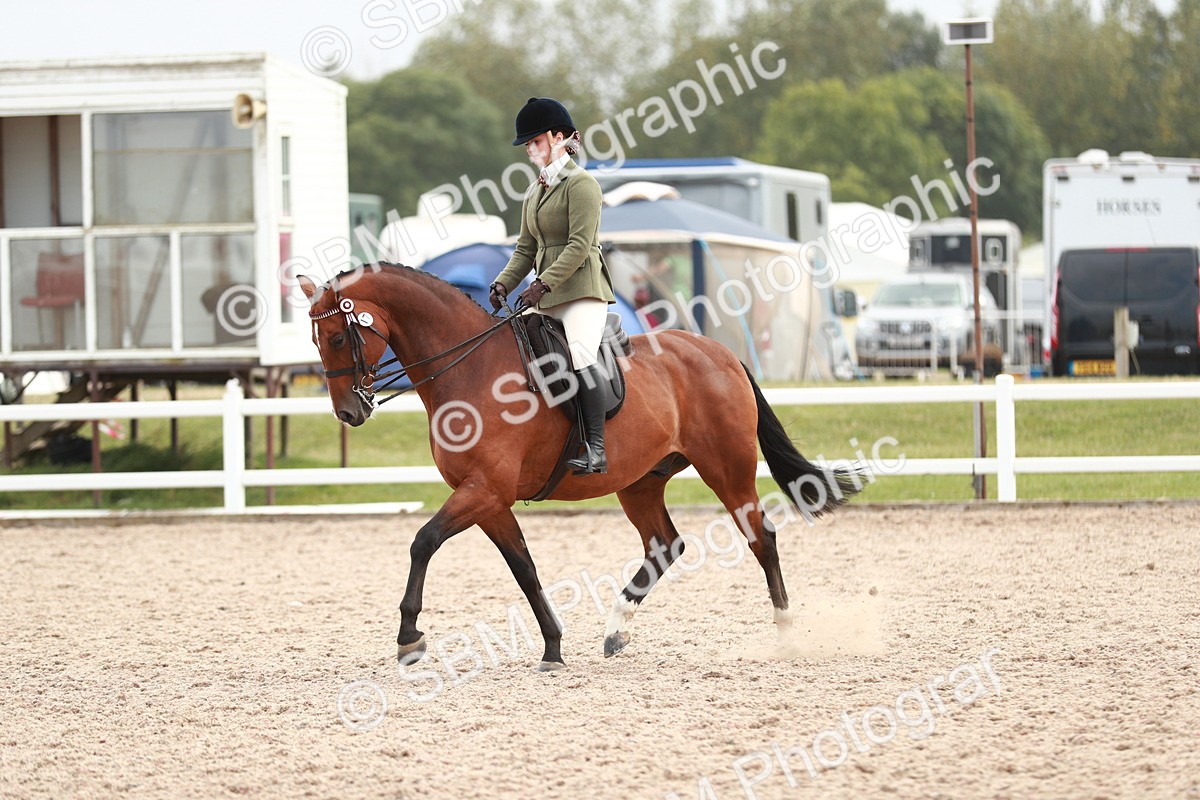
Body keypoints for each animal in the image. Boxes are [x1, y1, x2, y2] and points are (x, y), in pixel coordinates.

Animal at [298, 264, 860, 671]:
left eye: (338, 338)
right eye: (316, 341)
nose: (348, 412)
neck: (470, 370)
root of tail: (719, 352)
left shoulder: (483, 489)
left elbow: (423, 542)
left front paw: (409, 639)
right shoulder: (489, 498)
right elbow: (523, 568)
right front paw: (552, 647)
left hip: (727, 467)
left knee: (761, 537)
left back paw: (785, 634)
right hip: (640, 482)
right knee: (664, 545)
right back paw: (615, 630)